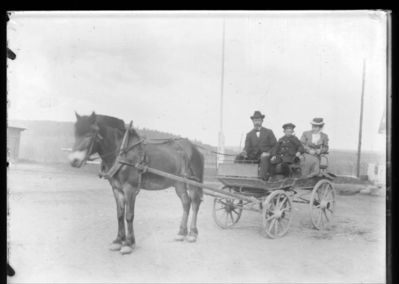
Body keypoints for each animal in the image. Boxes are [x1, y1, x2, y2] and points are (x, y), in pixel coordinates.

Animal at [69, 112, 205, 254]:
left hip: (193, 182)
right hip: (179, 183)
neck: (122, 152)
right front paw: (118, 241)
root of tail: (195, 148)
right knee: (186, 203)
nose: (73, 160)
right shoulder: (117, 189)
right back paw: (181, 233)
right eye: (76, 133)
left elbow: (129, 215)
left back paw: (192, 234)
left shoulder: (130, 189)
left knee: (195, 204)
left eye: (90, 134)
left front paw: (129, 243)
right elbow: (119, 214)